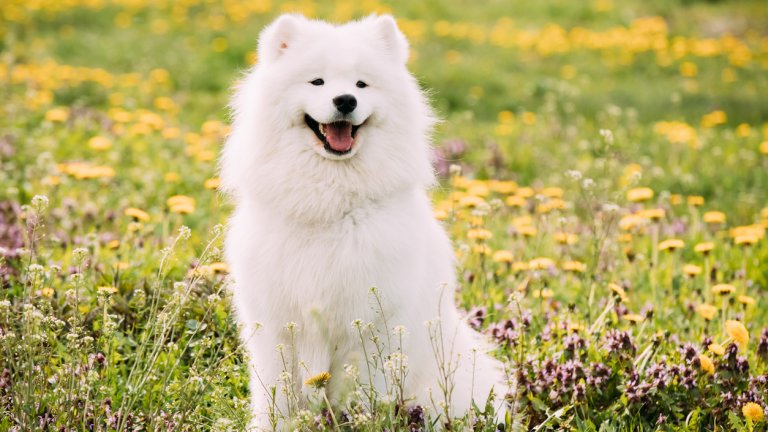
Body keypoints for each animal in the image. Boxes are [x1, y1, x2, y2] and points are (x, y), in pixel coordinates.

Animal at [220, 14, 510, 432]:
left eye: (361, 84)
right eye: (317, 81)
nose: (345, 100)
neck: (331, 203)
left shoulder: (370, 326)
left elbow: (359, 392)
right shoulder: (276, 326)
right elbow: (278, 396)